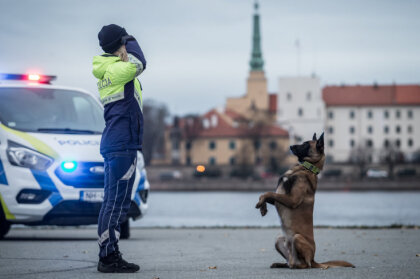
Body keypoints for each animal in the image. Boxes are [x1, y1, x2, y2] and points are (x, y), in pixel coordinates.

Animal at [256, 135, 354, 270]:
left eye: (306, 144)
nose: (291, 146)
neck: (306, 168)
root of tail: (314, 259)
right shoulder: (280, 197)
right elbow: (266, 194)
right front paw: (263, 207)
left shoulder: (292, 199)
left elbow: (268, 193)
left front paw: (261, 204)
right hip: (279, 239)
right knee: (289, 262)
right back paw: (280, 264)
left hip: (297, 238)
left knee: (305, 265)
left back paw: (297, 265)